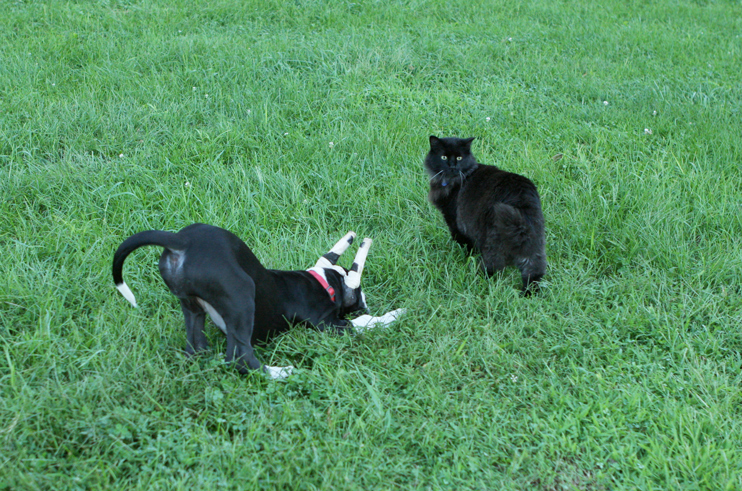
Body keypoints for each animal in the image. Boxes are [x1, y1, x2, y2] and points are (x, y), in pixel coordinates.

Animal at [112, 225, 404, 378]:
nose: (364, 300)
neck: (320, 281)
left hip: (191, 307)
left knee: (196, 348)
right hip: (241, 294)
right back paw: (281, 372)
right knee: (239, 358)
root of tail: (180, 240)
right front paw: (394, 314)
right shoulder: (328, 324)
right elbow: (363, 319)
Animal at [424, 136, 548, 294]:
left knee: (492, 269)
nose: (452, 166)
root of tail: (521, 202)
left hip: (492, 246)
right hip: (534, 246)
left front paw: (466, 257)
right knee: (535, 272)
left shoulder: (454, 221)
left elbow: (464, 243)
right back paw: (527, 294)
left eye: (459, 157)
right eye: (443, 157)